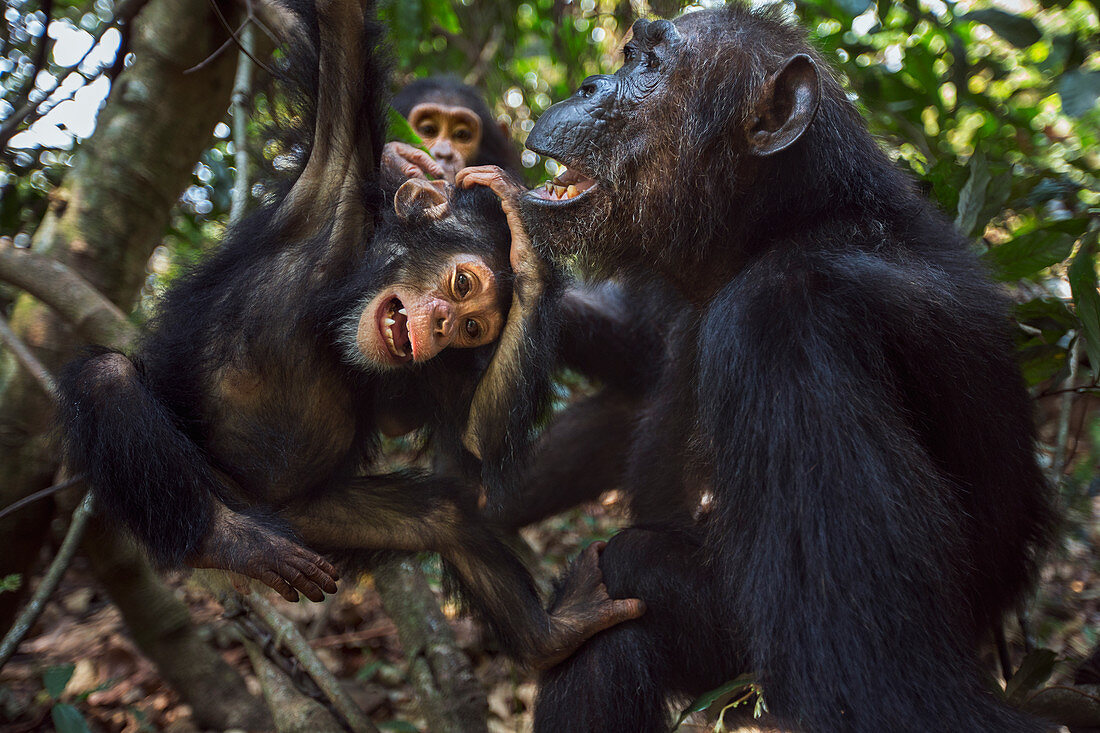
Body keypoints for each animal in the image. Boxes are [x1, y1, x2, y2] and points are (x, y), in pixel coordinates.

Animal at [462, 5, 1056, 730]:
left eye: (651, 67)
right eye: (630, 55)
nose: (589, 85)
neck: (775, 228)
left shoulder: (779, 329)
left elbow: (880, 680)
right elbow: (635, 345)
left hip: (740, 677)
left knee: (624, 573)